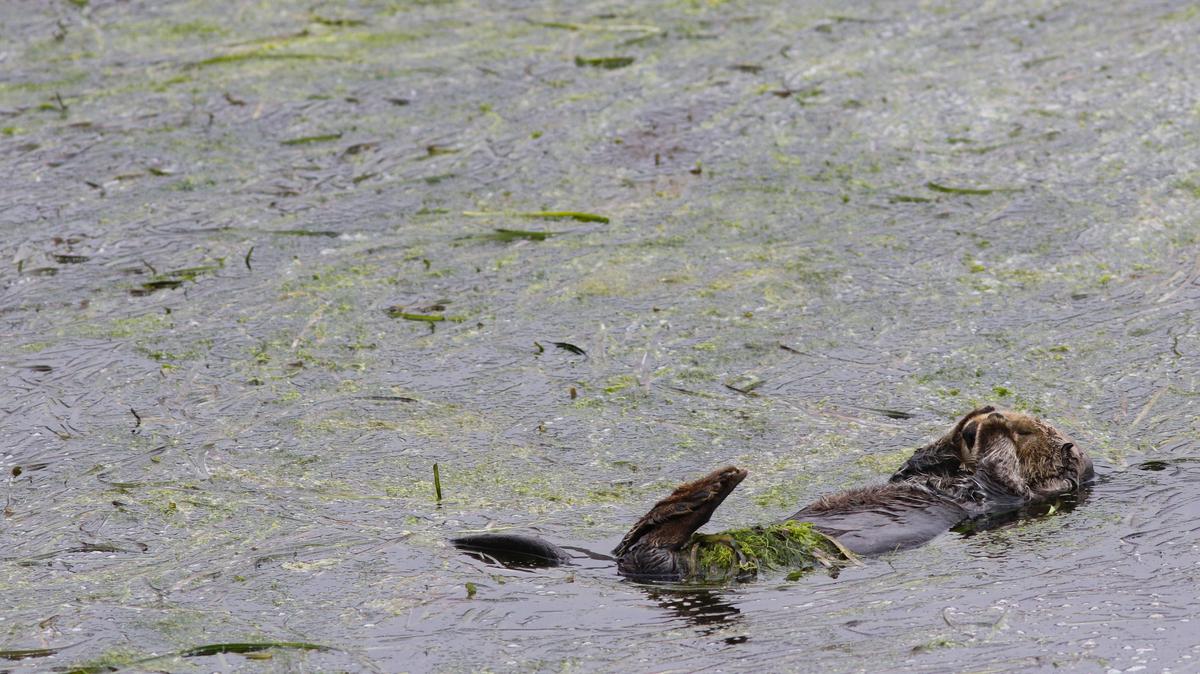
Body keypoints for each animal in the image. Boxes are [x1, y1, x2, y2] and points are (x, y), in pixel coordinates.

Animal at [453, 406, 1092, 581]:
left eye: (1034, 433)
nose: (1007, 417)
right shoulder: (922, 476)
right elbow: (911, 466)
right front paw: (975, 419)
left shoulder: (1002, 498)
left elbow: (1008, 479)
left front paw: (993, 430)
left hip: (676, 560)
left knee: (652, 540)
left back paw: (713, 487)